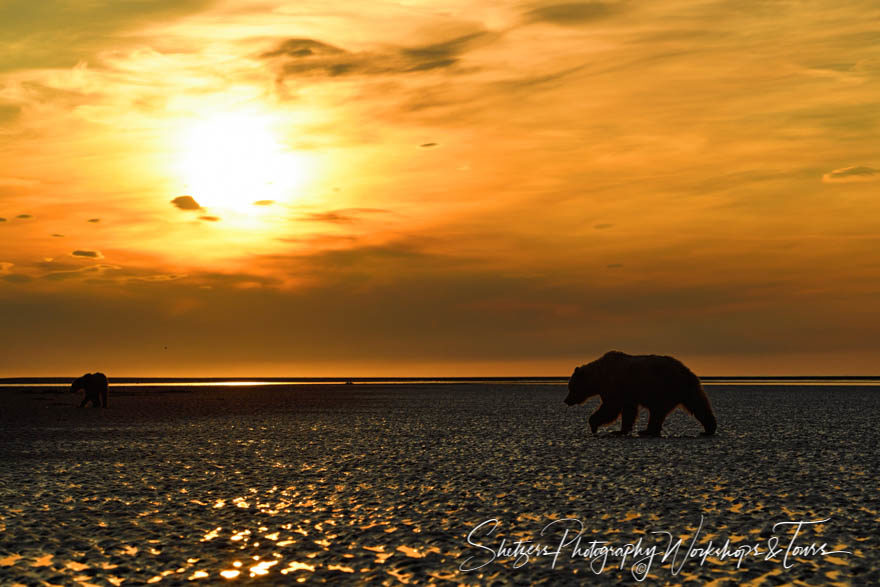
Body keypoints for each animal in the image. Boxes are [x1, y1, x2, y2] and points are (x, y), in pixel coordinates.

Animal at [564, 350, 716, 436]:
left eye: (571, 387)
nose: (566, 400)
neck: (598, 376)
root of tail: (687, 371)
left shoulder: (614, 385)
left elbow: (611, 407)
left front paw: (594, 424)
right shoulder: (627, 393)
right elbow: (628, 411)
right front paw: (621, 430)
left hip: (663, 387)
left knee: (657, 411)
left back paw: (647, 431)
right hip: (686, 389)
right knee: (698, 405)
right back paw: (709, 428)